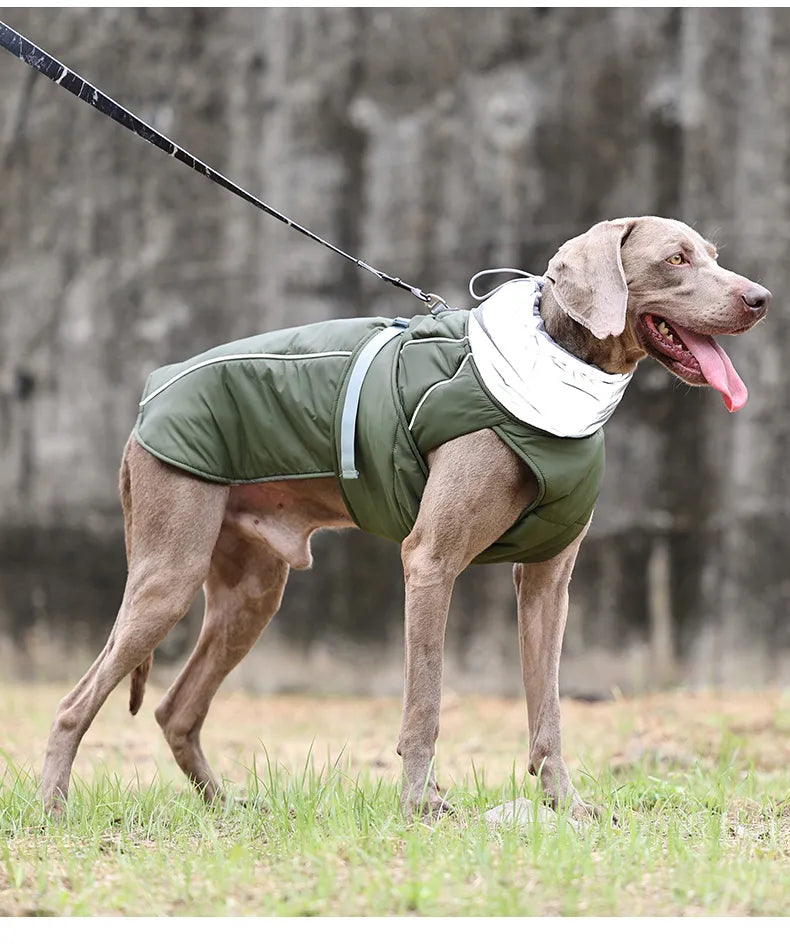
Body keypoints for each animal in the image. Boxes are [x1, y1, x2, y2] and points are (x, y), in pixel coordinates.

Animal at [38, 215, 772, 816]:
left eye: (713, 255)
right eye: (675, 259)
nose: (761, 298)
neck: (558, 364)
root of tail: (149, 398)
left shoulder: (548, 583)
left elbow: (549, 710)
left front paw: (568, 804)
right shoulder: (430, 562)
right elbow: (426, 702)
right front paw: (420, 803)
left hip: (250, 592)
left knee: (175, 708)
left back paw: (227, 808)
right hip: (169, 570)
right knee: (75, 703)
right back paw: (53, 809)